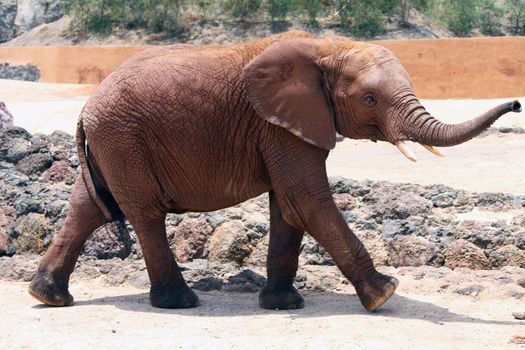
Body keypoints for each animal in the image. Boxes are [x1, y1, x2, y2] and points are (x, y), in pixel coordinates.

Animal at [28, 30, 520, 312]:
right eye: (369, 100)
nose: (517, 103)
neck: (327, 48)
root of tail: (86, 107)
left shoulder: (285, 125)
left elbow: (288, 206)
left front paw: (283, 305)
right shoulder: (278, 123)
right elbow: (306, 200)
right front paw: (386, 293)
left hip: (113, 143)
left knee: (89, 208)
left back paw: (48, 297)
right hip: (124, 138)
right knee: (144, 213)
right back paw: (179, 303)